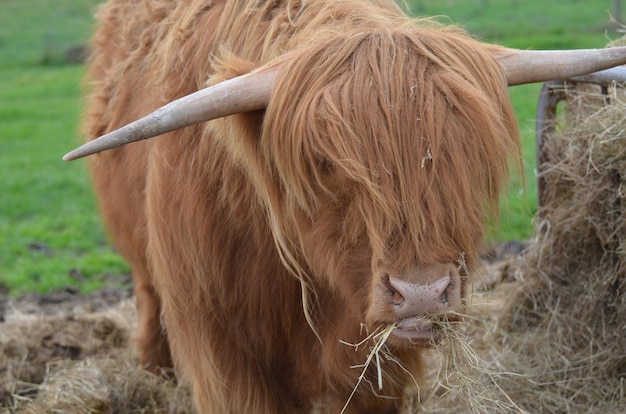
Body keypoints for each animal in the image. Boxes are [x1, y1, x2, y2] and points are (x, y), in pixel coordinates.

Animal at [64, 1, 626, 412]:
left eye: (467, 153)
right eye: (326, 164)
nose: (422, 293)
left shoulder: (377, 371)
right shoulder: (224, 354)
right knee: (146, 293)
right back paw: (152, 369)